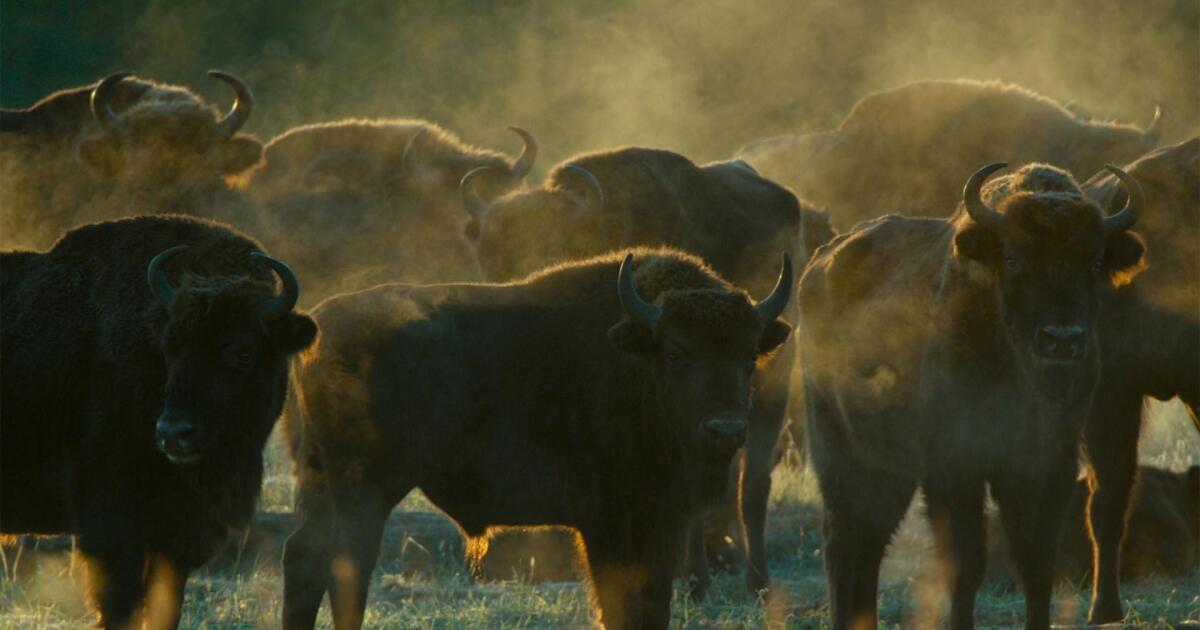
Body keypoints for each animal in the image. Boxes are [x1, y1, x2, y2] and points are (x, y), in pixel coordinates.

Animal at [1, 215, 316, 628]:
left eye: (243, 352)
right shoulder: (114, 530)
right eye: (169, 347)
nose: (174, 435)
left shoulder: (178, 538)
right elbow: (120, 607)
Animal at [282, 248, 794, 629]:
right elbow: (620, 608)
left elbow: (652, 607)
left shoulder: (660, 524)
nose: (725, 430)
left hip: (319, 479)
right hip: (364, 489)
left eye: (749, 355)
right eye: (675, 353)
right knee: (347, 566)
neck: (633, 362)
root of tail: (318, 330)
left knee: (304, 558)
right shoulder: (607, 525)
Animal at [798, 162, 1146, 629]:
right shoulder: (954, 468)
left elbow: (1036, 560)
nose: (1062, 338)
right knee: (843, 540)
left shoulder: (1046, 465)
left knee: (869, 541)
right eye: (1014, 259)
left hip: (889, 468)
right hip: (839, 451)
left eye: (1093, 262)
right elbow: (966, 563)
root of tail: (819, 264)